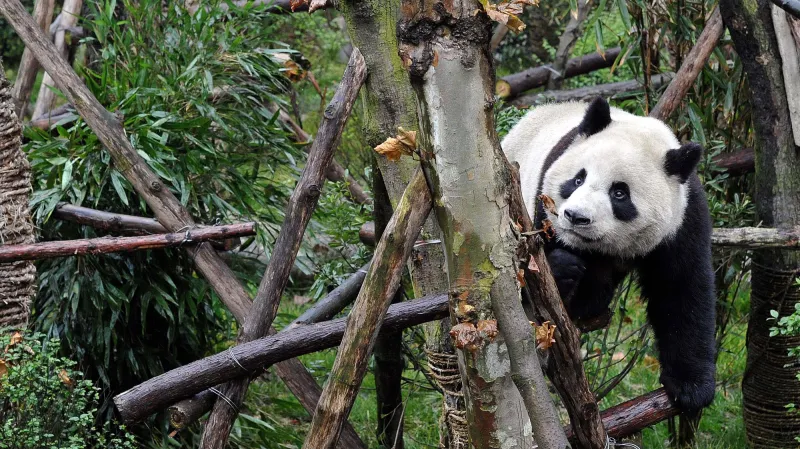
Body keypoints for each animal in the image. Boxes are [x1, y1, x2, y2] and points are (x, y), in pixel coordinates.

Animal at [502, 97, 716, 413]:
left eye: (619, 193)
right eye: (578, 179)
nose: (575, 217)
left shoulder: (683, 218)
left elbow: (682, 288)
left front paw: (691, 387)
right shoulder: (540, 209)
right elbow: (548, 300)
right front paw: (563, 269)